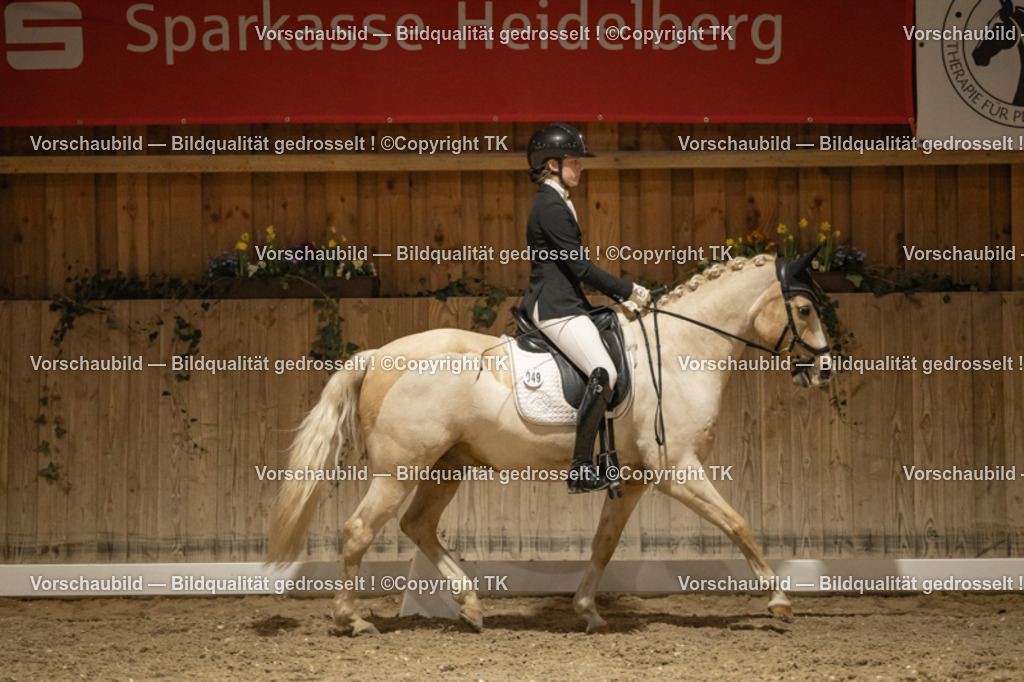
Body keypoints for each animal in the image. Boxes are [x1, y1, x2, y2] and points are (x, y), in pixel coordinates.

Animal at [267, 251, 832, 636]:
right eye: (804, 308)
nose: (825, 369)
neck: (677, 352)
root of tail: (378, 354)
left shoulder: (634, 480)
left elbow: (604, 543)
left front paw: (587, 612)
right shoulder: (677, 470)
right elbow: (738, 524)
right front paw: (779, 601)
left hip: (446, 466)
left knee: (418, 526)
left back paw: (471, 606)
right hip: (399, 471)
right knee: (360, 529)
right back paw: (352, 619)